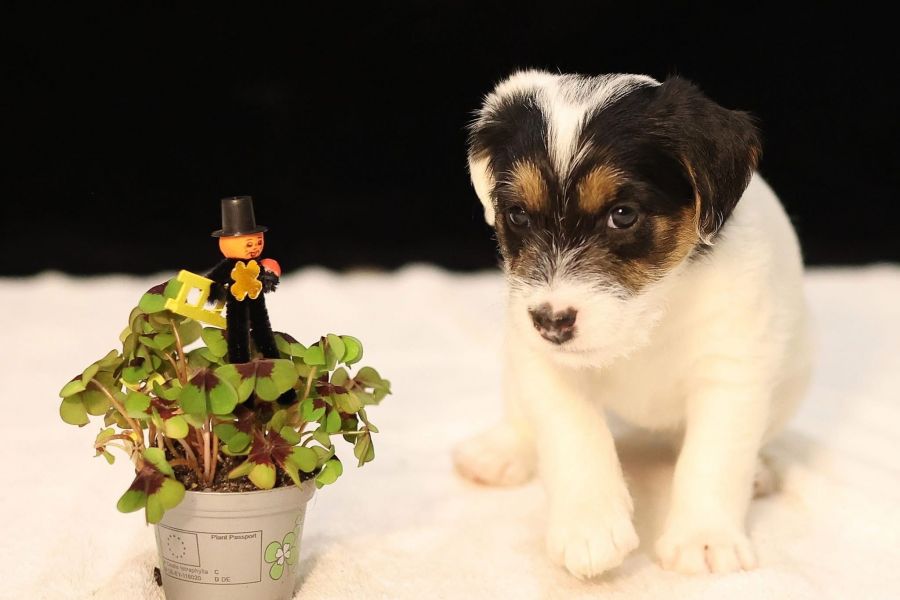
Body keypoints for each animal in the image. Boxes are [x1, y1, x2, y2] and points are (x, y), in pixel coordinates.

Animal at [453, 70, 812, 578]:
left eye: (622, 215)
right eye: (517, 214)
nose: (551, 322)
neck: (653, 313)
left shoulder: (731, 374)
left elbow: (713, 458)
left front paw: (704, 538)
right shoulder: (545, 366)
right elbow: (573, 435)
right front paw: (588, 526)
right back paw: (502, 450)